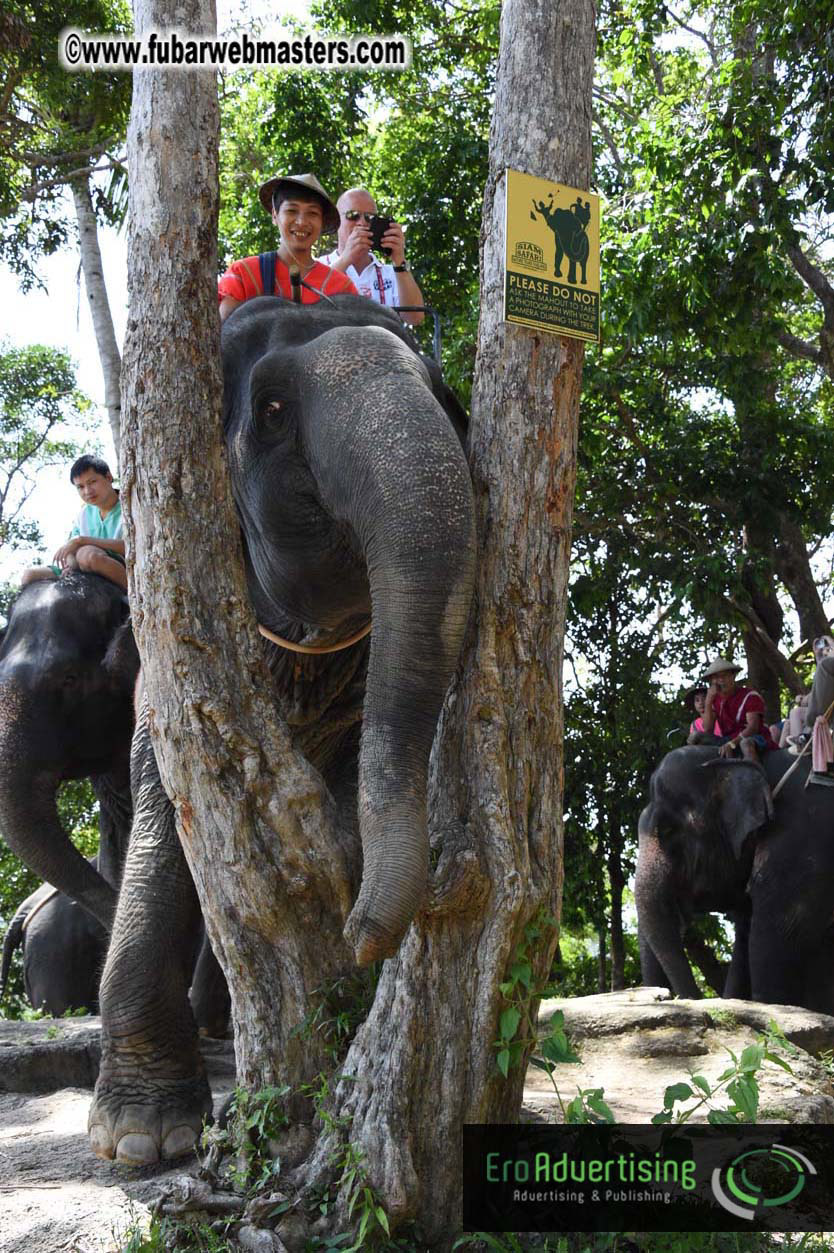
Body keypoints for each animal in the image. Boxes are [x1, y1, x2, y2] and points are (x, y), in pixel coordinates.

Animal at [87, 294, 477, 1165]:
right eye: (269, 412)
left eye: (443, 396)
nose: (363, 933)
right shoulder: (165, 662)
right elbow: (161, 802)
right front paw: (143, 1139)